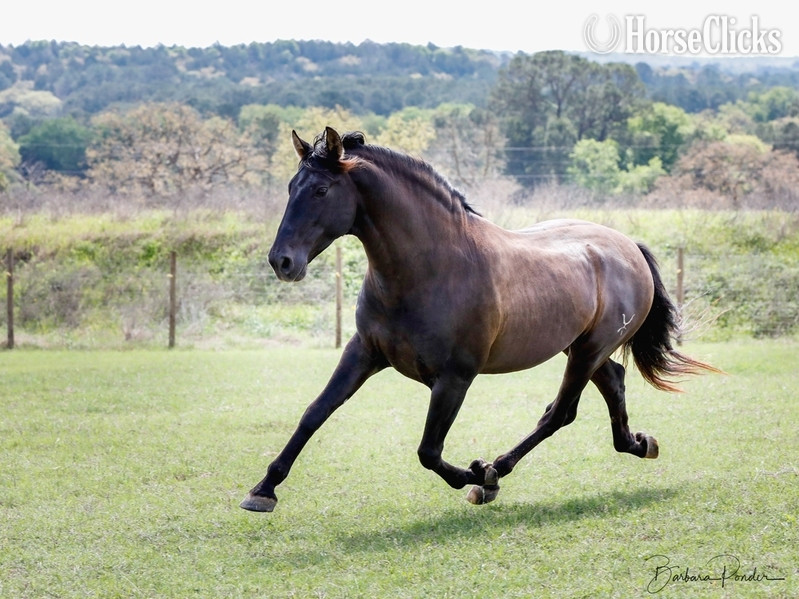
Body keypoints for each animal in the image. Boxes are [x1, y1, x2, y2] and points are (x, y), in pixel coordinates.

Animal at [239, 127, 717, 512]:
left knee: (560, 412)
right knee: (613, 382)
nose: (282, 262)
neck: (432, 268)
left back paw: (497, 472)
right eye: (291, 187)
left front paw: (478, 473)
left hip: (586, 351)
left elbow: (428, 451)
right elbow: (314, 413)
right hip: (580, 348)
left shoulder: (455, 378)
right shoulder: (363, 353)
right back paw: (639, 444)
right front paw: (263, 491)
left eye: (321, 191)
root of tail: (628, 246)